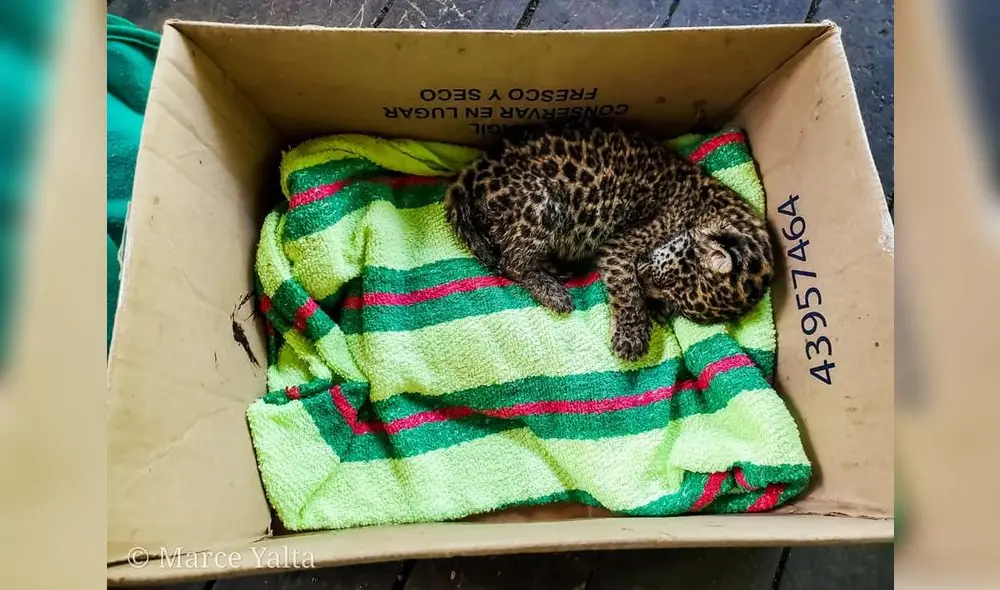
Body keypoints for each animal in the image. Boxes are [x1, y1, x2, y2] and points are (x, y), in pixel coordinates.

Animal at [443, 119, 773, 362]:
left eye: (669, 291)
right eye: (669, 278)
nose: (645, 278)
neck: (707, 208)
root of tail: (472, 172)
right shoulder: (619, 248)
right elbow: (627, 292)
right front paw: (632, 337)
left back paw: (556, 271)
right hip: (540, 203)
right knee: (511, 261)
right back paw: (555, 294)